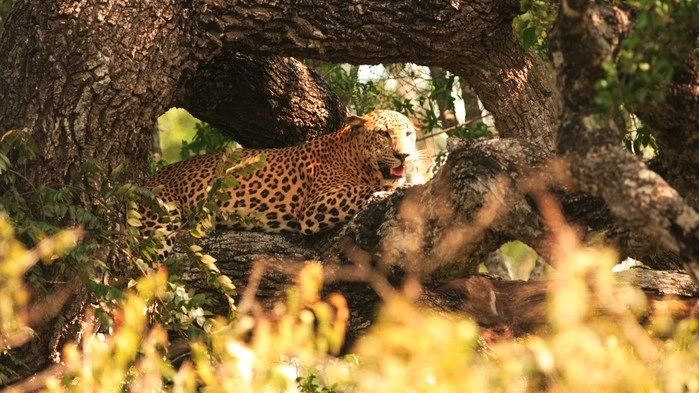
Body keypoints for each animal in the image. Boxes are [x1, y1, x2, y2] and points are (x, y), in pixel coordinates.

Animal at [139, 108, 418, 256]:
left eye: (409, 134)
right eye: (383, 134)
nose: (403, 155)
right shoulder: (313, 208)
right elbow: (362, 190)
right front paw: (396, 190)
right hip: (159, 223)